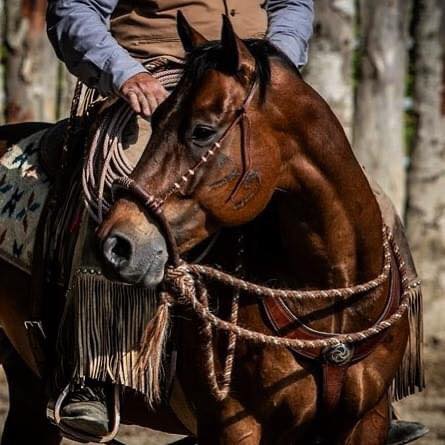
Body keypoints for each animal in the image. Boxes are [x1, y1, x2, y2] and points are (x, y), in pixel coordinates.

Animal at [0, 16, 410, 444]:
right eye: (155, 120)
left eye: (202, 130)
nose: (116, 245)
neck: (328, 303)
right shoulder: (232, 424)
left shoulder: (368, 420)